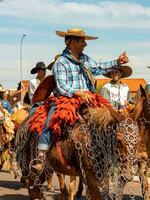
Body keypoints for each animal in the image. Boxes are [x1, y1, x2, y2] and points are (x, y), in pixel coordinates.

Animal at [14, 97, 142, 200]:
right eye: (118, 140)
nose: (127, 176)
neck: (93, 139)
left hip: (46, 170)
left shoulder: (99, 177)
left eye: (137, 140)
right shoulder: (90, 178)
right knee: (33, 188)